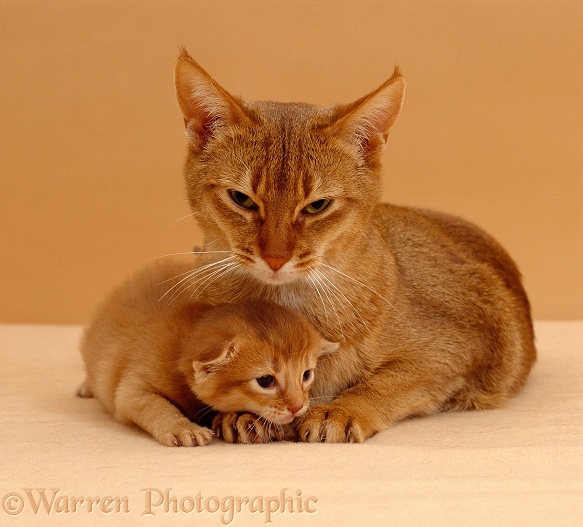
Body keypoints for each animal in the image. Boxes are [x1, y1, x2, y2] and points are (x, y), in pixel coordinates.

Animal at [76, 258, 338, 446]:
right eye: (265, 381)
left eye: (306, 375)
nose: (298, 406)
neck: (181, 345)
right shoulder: (132, 390)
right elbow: (156, 406)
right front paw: (182, 428)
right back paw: (86, 387)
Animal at [173, 50, 540, 446]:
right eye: (241, 199)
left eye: (317, 206)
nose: (275, 258)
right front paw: (243, 410)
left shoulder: (453, 349)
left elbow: (388, 381)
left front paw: (342, 409)